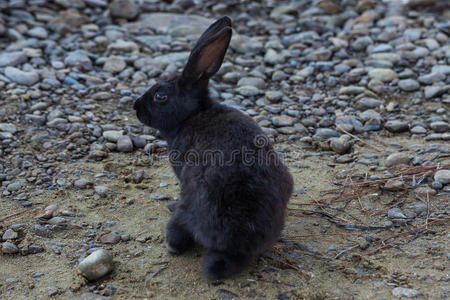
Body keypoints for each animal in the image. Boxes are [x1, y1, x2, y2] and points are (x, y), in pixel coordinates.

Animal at [134, 15, 294, 278]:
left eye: (160, 96)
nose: (135, 107)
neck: (192, 115)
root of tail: (233, 246)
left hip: (189, 206)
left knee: (178, 233)